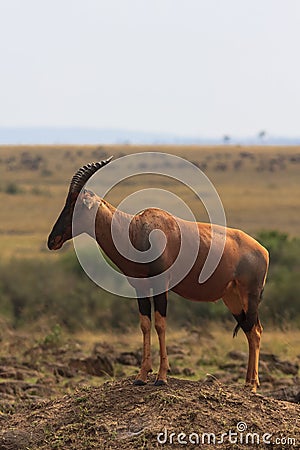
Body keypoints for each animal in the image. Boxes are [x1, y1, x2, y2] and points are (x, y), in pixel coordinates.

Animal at [48, 157, 268, 390]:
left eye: (76, 204)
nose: (52, 241)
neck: (136, 229)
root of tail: (262, 249)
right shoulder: (140, 287)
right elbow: (145, 325)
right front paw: (141, 375)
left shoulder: (162, 285)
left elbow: (160, 324)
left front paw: (161, 377)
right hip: (232, 299)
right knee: (250, 329)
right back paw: (247, 383)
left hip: (250, 295)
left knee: (255, 331)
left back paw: (252, 385)